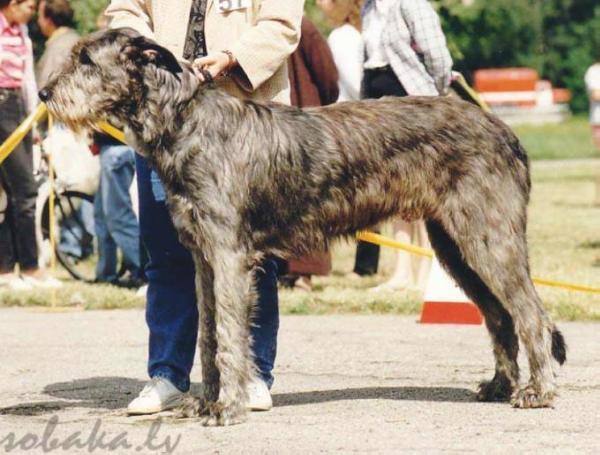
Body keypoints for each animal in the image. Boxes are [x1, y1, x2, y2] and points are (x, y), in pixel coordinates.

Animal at [42, 30, 568, 426]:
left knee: (531, 315)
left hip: (487, 237)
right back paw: (500, 385)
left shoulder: (229, 255)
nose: (45, 93)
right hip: (453, 246)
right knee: (499, 317)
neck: (187, 121)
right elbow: (208, 334)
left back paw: (537, 391)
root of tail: (504, 130)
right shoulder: (202, 256)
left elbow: (229, 334)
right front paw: (205, 401)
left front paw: (228, 407)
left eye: (86, 58)